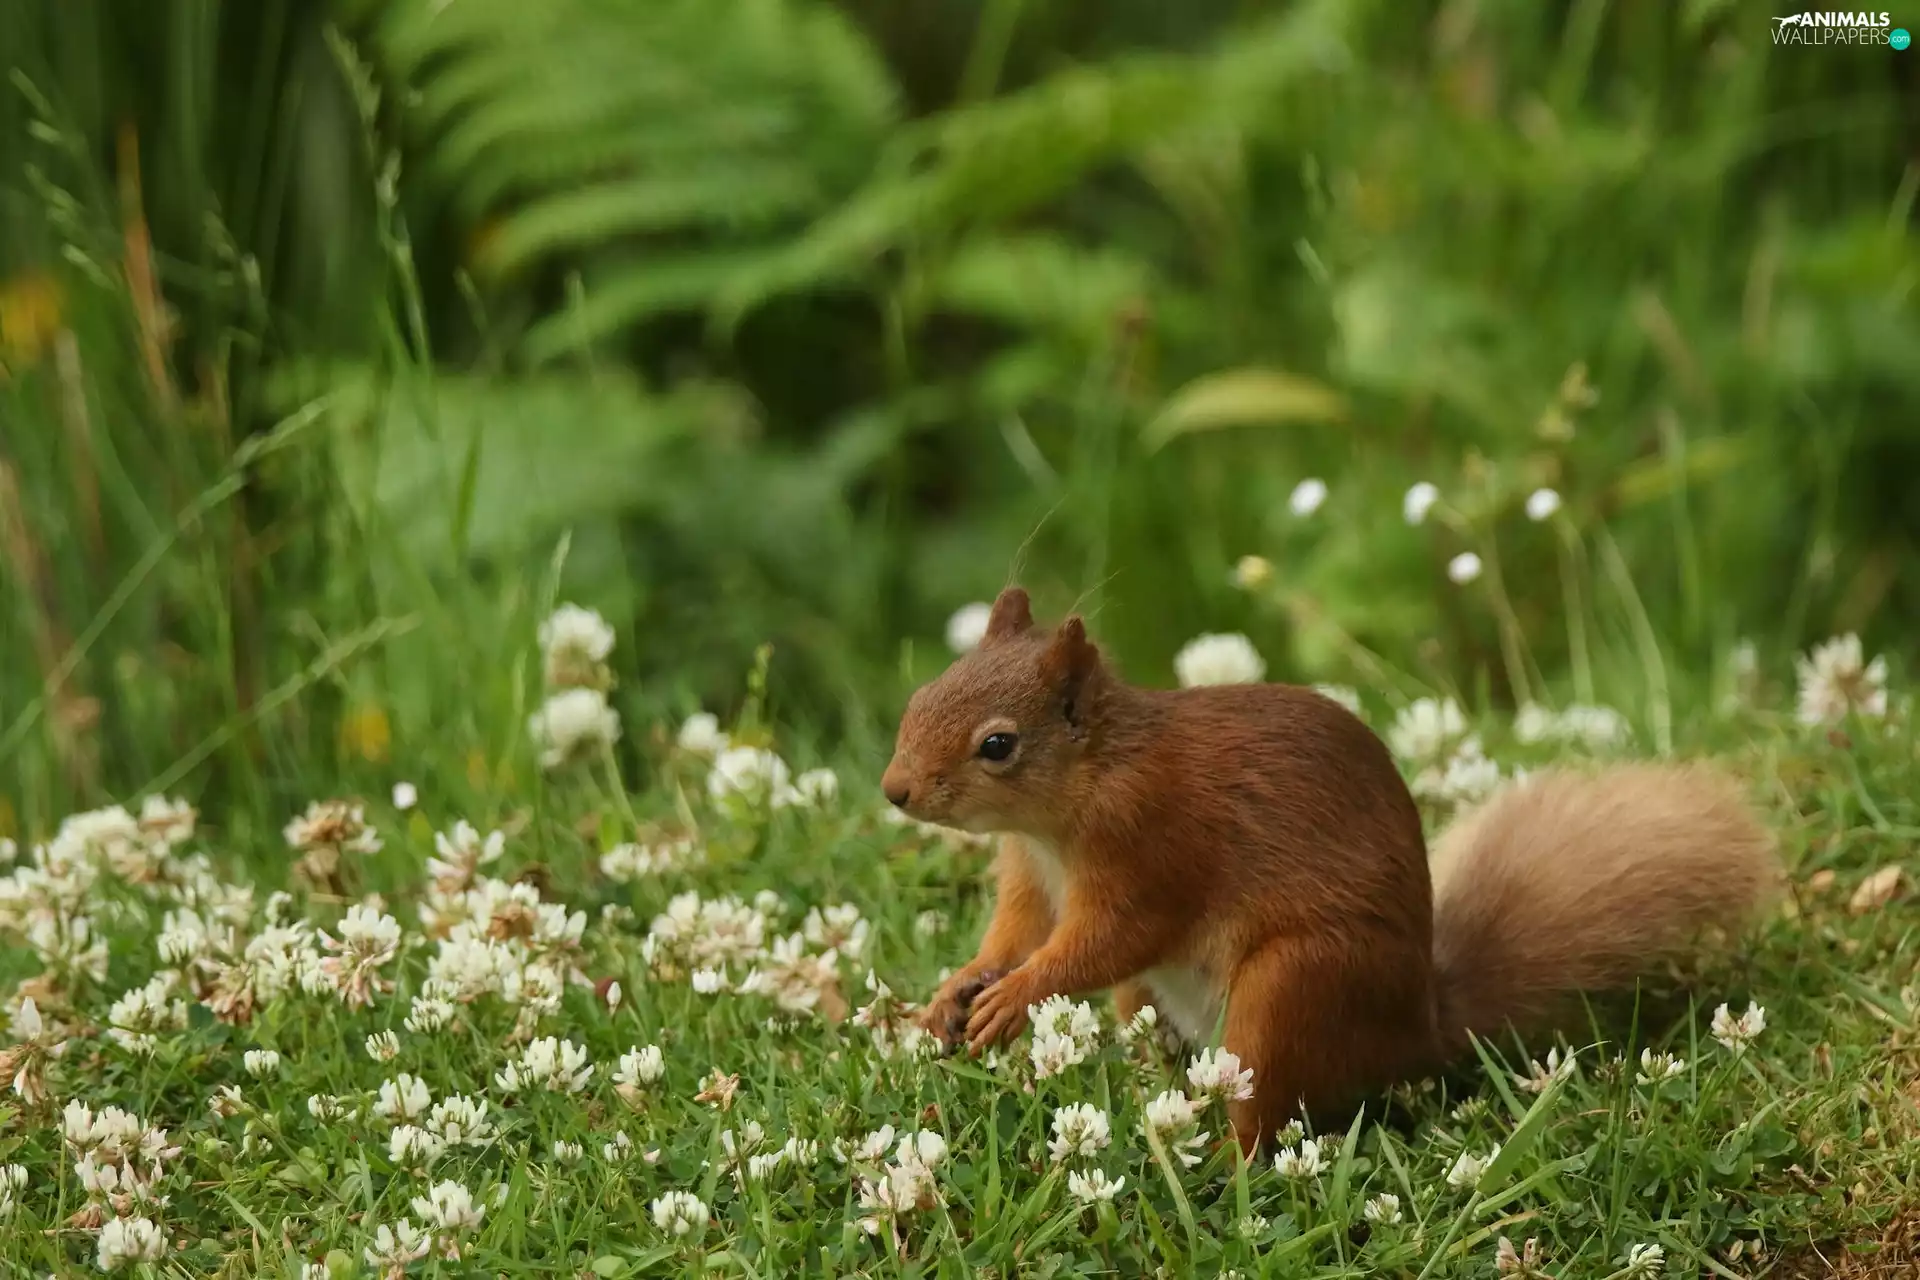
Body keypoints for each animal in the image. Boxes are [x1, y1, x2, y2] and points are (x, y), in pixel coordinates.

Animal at [881, 587, 1779, 1153]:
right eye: (920, 695)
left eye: (998, 745)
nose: (895, 791)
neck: (1059, 816)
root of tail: (1415, 1033)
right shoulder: (1030, 877)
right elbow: (1015, 933)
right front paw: (956, 992)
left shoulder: (1152, 850)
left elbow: (1107, 939)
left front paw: (1016, 996)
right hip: (1168, 1002)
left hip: (1298, 984)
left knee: (1263, 1112)